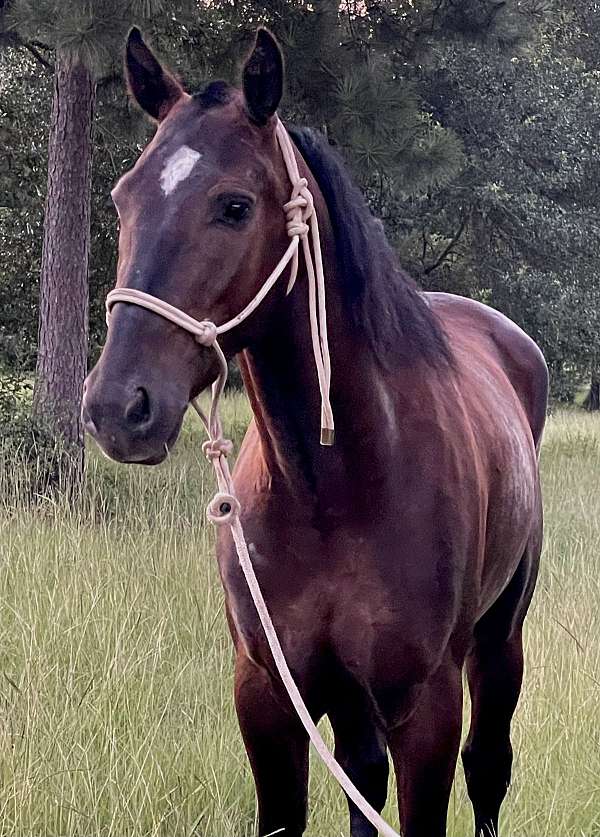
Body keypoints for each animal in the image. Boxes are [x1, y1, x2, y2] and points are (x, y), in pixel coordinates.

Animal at [83, 26, 548, 836]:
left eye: (235, 205)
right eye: (123, 196)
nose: (118, 405)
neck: (336, 489)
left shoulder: (427, 707)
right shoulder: (268, 695)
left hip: (499, 645)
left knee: (489, 766)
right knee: (364, 775)